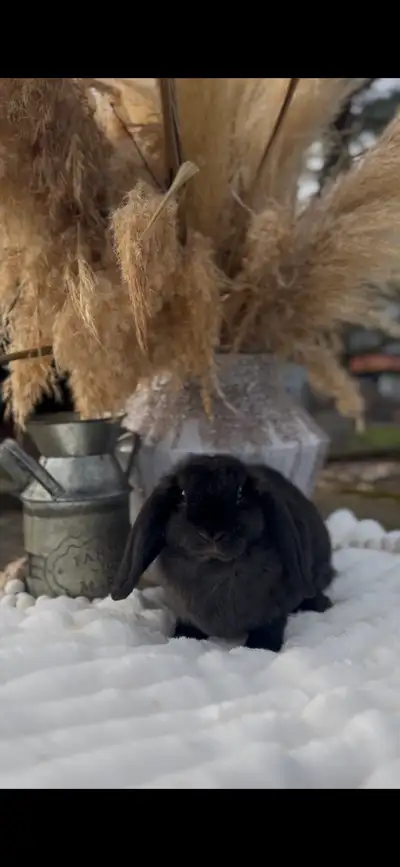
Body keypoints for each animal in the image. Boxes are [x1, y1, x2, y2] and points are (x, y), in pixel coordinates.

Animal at [111, 454, 334, 652]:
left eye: (240, 494)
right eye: (182, 495)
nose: (212, 533)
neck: (216, 568)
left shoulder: (276, 608)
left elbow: (272, 623)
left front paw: (262, 646)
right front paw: (181, 637)